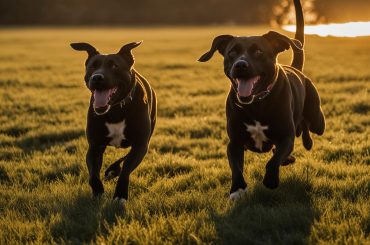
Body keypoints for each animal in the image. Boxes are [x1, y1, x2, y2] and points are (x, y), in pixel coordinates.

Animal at [199, 0, 324, 201]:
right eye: (232, 52)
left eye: (258, 51)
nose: (240, 65)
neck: (256, 103)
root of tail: (297, 69)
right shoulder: (234, 142)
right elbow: (236, 167)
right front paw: (237, 190)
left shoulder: (285, 137)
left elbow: (274, 160)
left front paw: (271, 180)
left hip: (317, 119)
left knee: (307, 125)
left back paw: (307, 142)